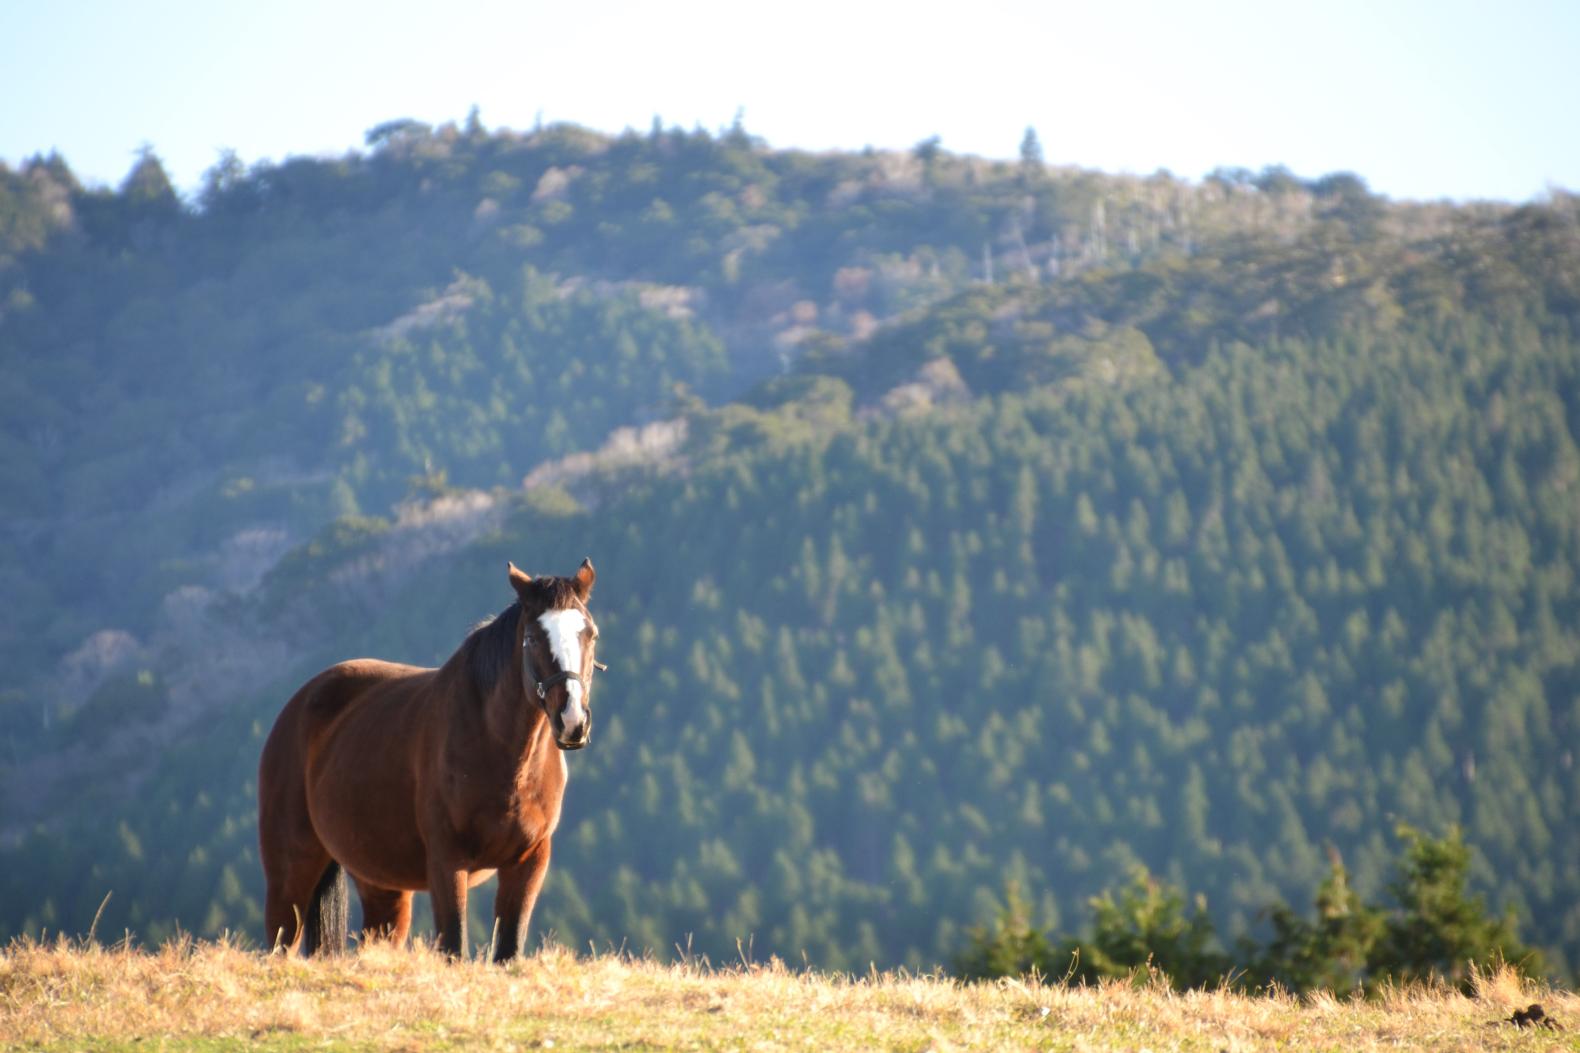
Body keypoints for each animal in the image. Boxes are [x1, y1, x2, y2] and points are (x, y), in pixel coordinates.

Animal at [255, 556, 600, 961]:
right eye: (532, 637)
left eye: (591, 634)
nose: (572, 720)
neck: (503, 756)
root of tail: (298, 704)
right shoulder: (447, 862)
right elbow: (454, 945)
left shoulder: (529, 861)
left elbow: (508, 949)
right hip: (290, 876)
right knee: (280, 940)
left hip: (381, 883)